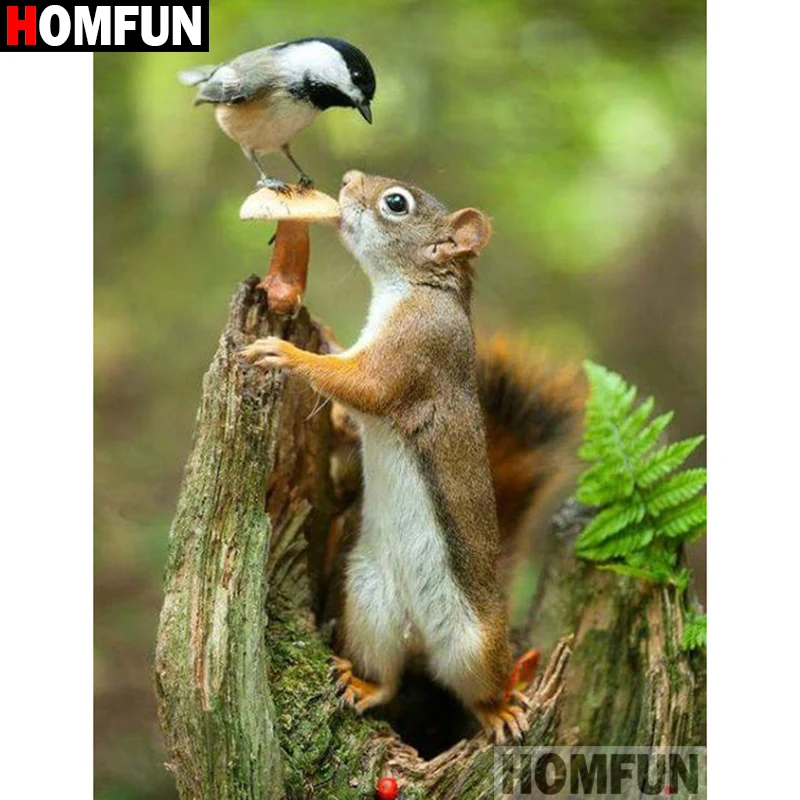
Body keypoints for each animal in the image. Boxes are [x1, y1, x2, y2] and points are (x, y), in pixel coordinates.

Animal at [242, 170, 585, 742]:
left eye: (396, 203)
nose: (347, 180)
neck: (413, 288)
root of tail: (420, 634)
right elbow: (350, 403)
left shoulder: (414, 350)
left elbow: (363, 387)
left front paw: (286, 353)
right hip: (368, 604)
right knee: (390, 677)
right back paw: (362, 684)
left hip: (475, 644)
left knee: (479, 689)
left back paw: (501, 708)